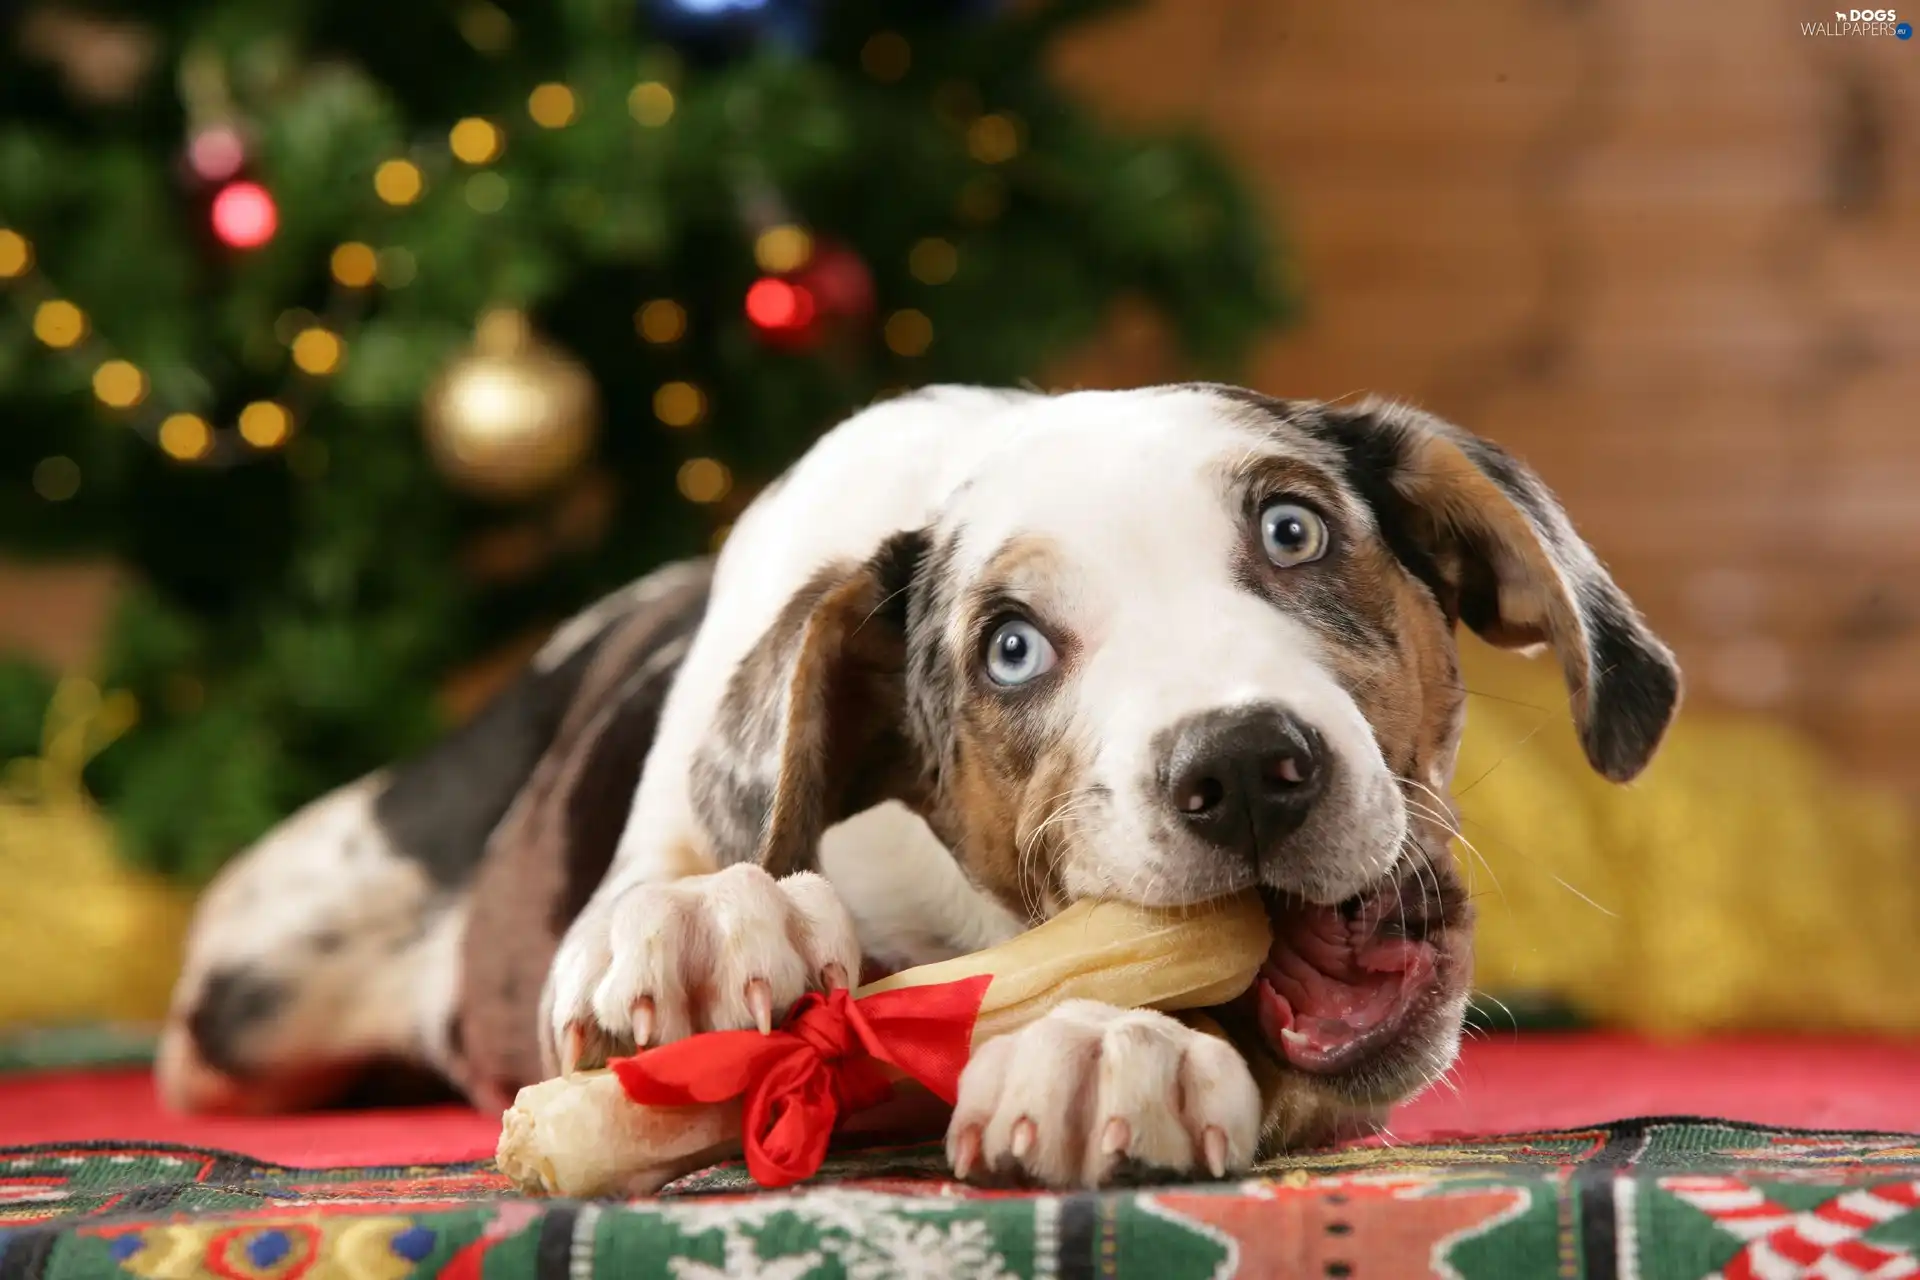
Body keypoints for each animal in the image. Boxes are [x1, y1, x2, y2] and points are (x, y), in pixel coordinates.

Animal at [157, 383, 1674, 1189]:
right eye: (1011, 647)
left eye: (1294, 529)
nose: (1245, 768)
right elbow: (668, 900)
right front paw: (707, 916)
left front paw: (1103, 1043)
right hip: (260, 986)